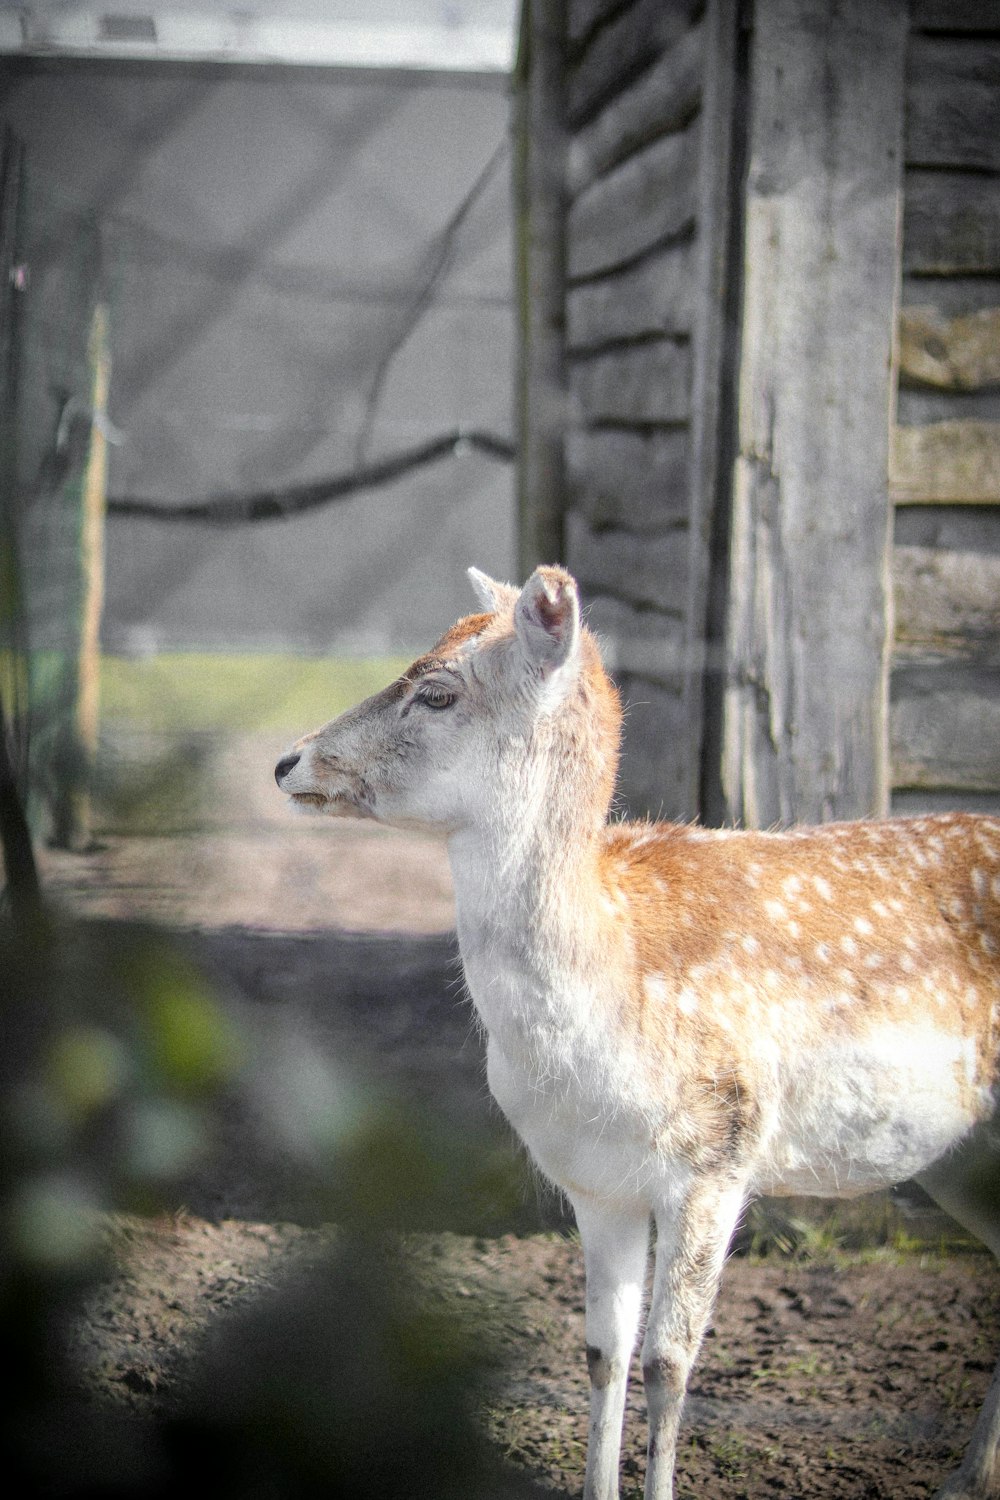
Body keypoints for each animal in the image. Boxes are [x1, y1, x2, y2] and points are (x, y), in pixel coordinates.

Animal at [277, 564, 1000, 1500]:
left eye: (436, 691)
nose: (288, 761)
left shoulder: (717, 1157)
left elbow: (669, 1360)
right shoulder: (594, 1183)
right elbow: (602, 1352)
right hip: (965, 1155)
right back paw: (965, 1480)